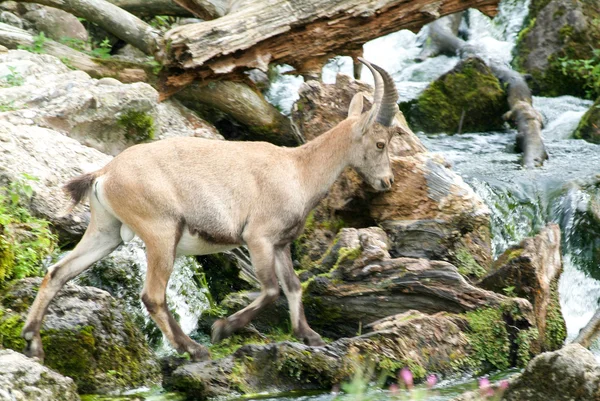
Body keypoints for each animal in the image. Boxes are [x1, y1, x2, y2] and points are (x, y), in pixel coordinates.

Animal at [22, 57, 398, 360]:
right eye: (381, 143)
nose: (388, 181)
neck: (299, 170)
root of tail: (106, 173)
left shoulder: (280, 244)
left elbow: (293, 285)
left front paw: (309, 336)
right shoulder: (258, 237)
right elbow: (271, 289)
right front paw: (222, 328)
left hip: (106, 230)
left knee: (58, 272)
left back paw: (33, 342)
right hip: (161, 232)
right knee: (152, 295)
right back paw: (194, 348)